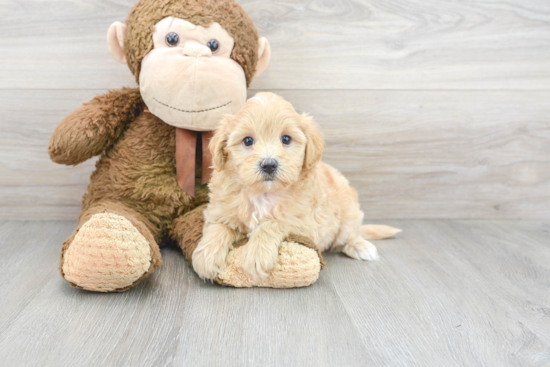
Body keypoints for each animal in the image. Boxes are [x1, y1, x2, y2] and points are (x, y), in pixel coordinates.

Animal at [194, 93, 402, 280]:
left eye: (286, 139)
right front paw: (206, 257)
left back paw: (360, 246)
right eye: (247, 141)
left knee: (349, 235)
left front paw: (257, 254)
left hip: (348, 214)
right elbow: (219, 227)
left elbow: (273, 222)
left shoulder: (304, 224)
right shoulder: (220, 211)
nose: (269, 164)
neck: (264, 194)